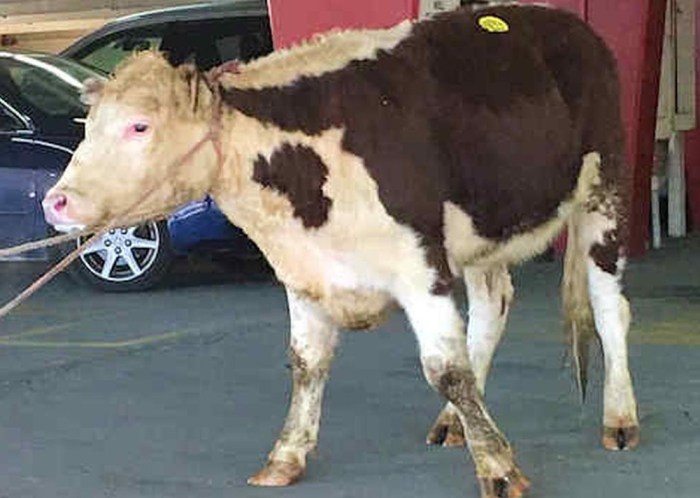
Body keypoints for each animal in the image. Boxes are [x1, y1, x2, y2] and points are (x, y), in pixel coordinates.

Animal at [42, 4, 639, 497]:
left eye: (139, 126)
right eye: (89, 126)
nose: (57, 202)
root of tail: (567, 23)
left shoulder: (421, 266)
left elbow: (446, 367)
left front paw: (497, 467)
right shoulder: (303, 270)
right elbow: (307, 364)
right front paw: (286, 455)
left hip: (604, 191)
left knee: (610, 309)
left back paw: (619, 418)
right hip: (485, 229)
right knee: (494, 305)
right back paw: (454, 423)